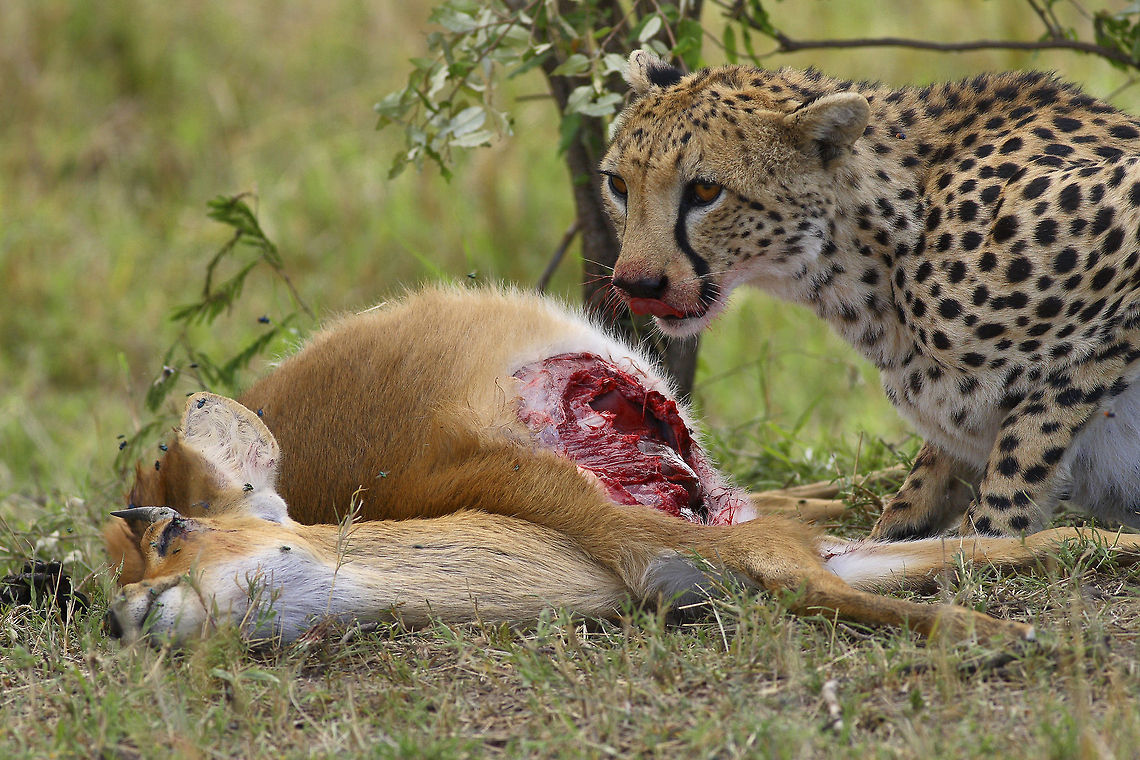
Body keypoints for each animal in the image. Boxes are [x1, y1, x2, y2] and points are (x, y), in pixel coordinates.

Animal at [600, 49, 1140, 540]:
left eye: (706, 192)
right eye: (619, 185)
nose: (636, 284)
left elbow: (1030, 435)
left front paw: (987, 533)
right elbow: (943, 461)